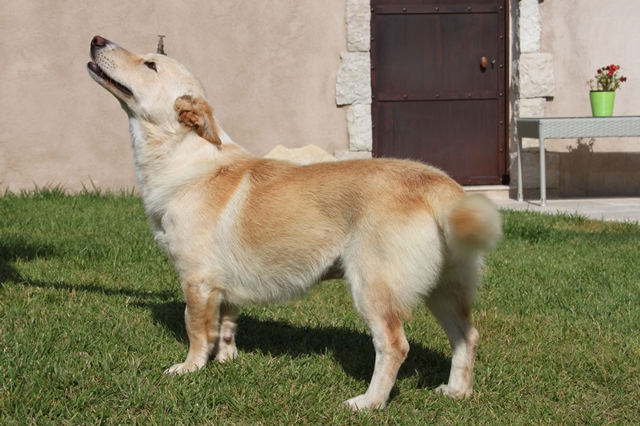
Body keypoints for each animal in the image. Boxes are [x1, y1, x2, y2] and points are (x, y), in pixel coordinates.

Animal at [87, 35, 502, 410]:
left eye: (150, 64)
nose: (96, 39)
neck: (183, 156)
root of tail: (437, 184)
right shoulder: (223, 286)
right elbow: (226, 327)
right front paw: (226, 361)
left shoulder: (197, 280)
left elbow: (197, 330)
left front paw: (189, 369)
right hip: (444, 290)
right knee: (467, 336)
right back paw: (456, 392)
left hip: (374, 287)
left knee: (395, 345)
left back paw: (369, 402)